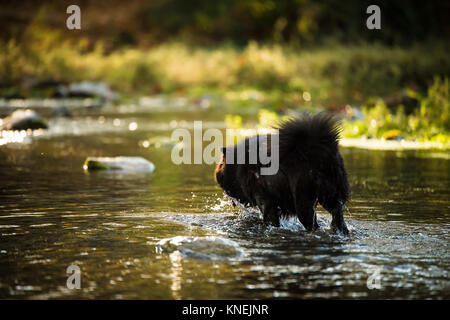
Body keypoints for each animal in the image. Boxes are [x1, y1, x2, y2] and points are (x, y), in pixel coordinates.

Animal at [215, 112, 352, 235]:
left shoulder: (265, 200)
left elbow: (270, 221)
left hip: (304, 200)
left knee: (313, 225)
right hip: (330, 195)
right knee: (338, 217)